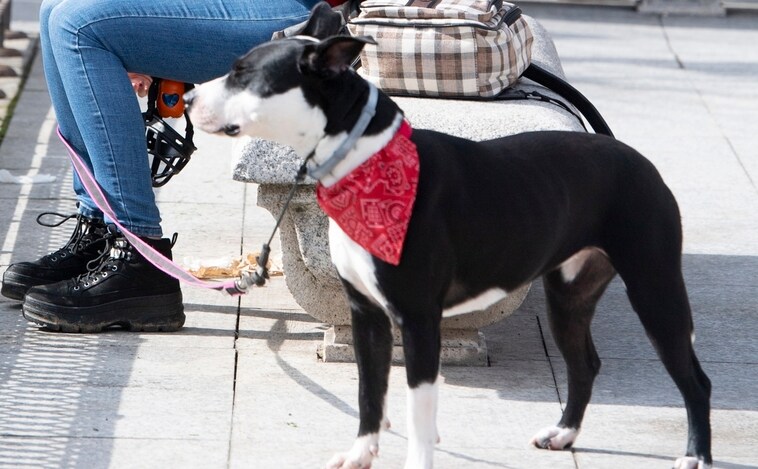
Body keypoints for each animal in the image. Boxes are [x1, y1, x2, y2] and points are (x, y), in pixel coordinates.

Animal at [184, 4, 712, 468]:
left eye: (242, 73)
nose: (187, 100)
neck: (365, 161)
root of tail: (631, 155)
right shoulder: (367, 316)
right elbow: (369, 394)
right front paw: (360, 455)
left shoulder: (419, 320)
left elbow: (419, 412)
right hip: (569, 296)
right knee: (584, 363)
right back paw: (564, 434)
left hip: (655, 286)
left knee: (694, 379)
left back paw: (694, 455)